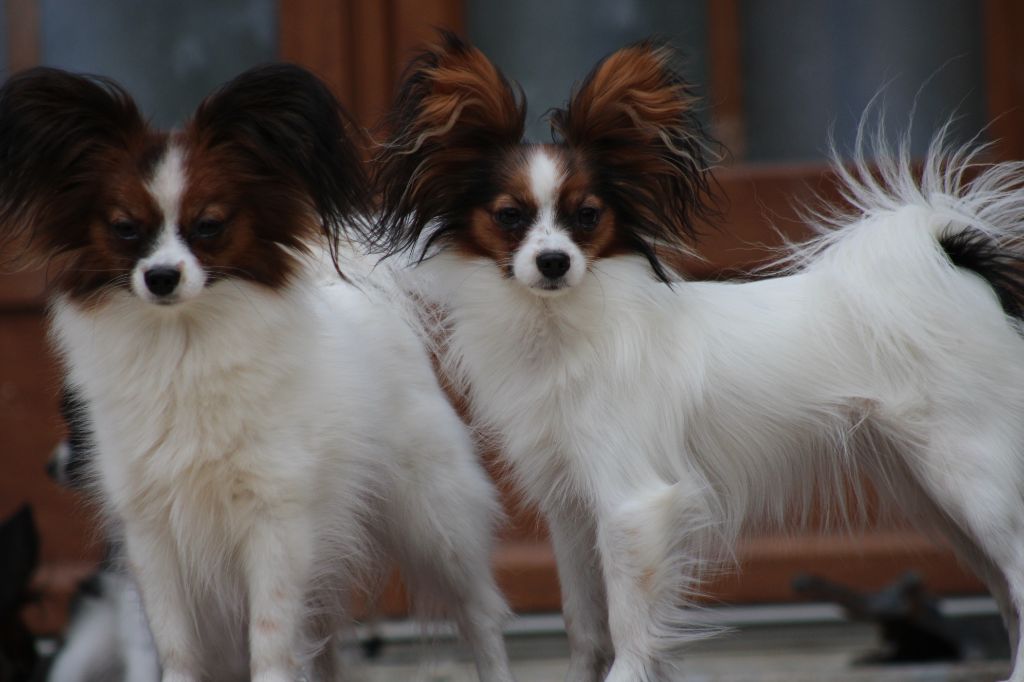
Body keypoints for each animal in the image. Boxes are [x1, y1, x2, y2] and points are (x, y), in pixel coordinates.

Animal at [0, 63, 512, 679]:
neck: (184, 347)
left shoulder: (275, 521)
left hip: (435, 522)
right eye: (125, 228)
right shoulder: (152, 535)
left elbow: (268, 639)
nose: (161, 277)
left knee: (479, 617)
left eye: (208, 225)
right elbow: (174, 645)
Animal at [376, 33, 1024, 679]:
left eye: (587, 216)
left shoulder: (633, 503)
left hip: (972, 476)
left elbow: (629, 632)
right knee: (1005, 592)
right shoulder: (571, 509)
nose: (554, 261)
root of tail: (954, 265)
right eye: (509, 216)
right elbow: (584, 628)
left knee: (1019, 580)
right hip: (937, 497)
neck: (560, 329)